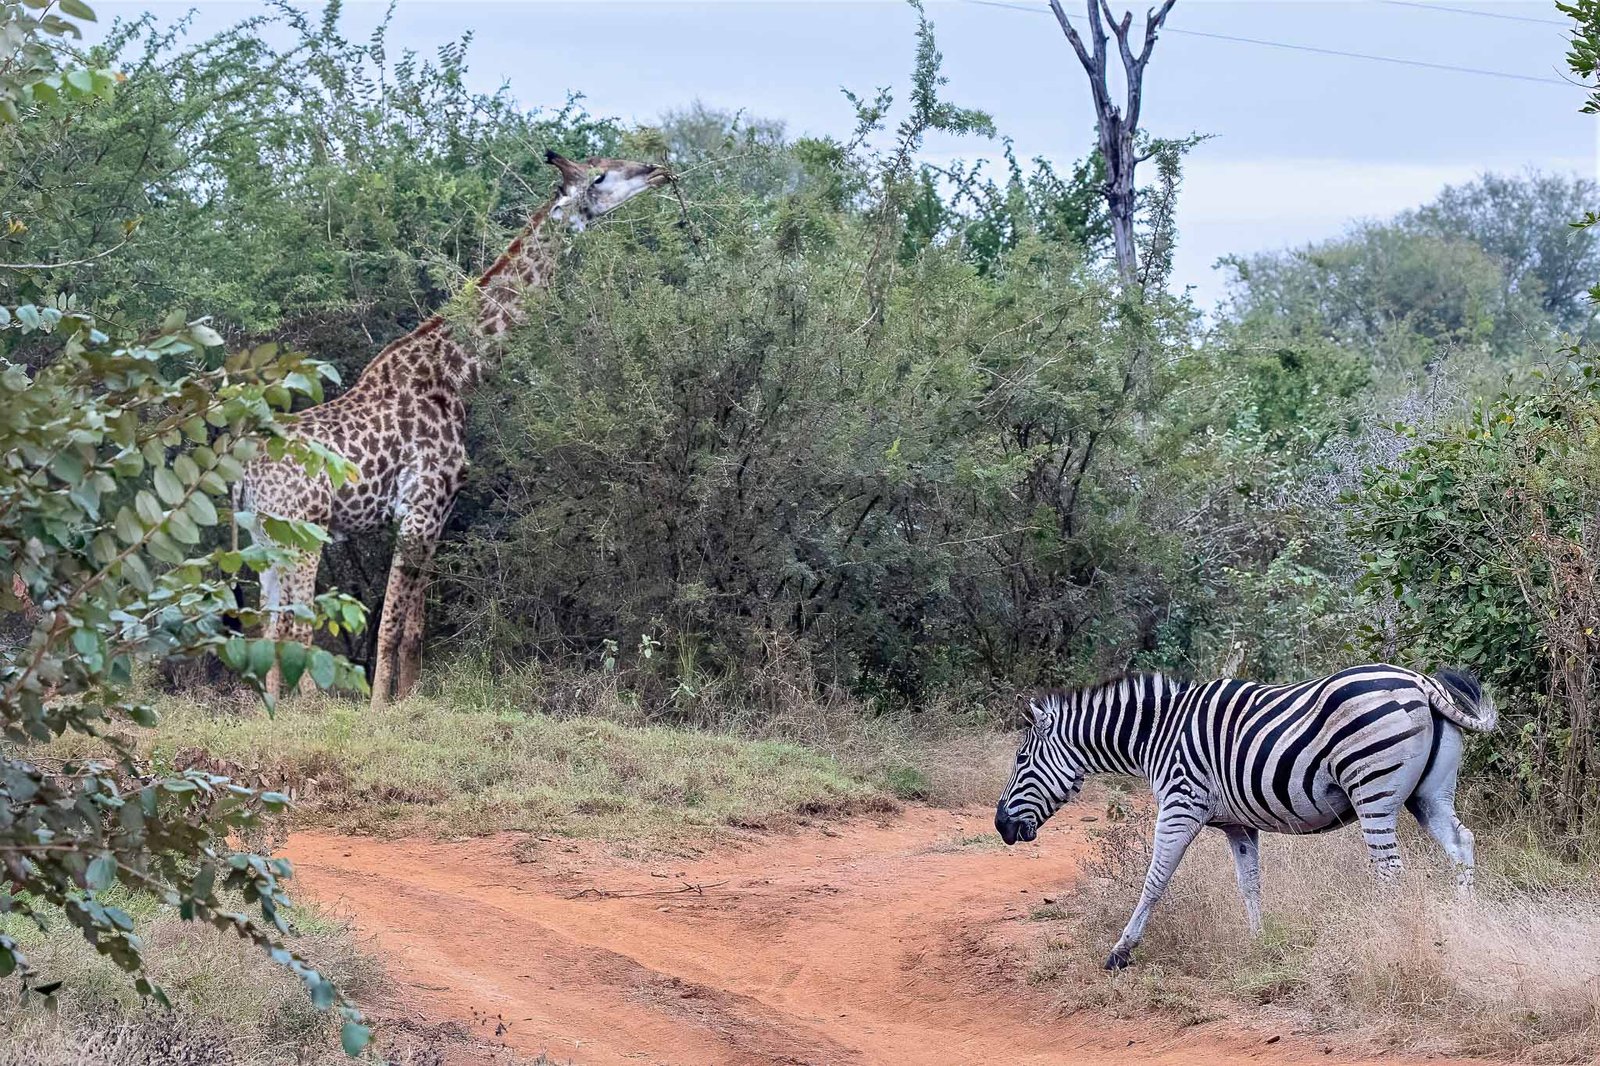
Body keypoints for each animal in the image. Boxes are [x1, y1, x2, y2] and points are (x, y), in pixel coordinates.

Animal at [241, 151, 669, 707]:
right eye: (599, 175)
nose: (659, 170)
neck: (460, 375)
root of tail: (245, 475)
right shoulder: (420, 508)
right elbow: (389, 625)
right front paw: (379, 708)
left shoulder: (438, 514)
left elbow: (415, 628)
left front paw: (408, 701)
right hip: (302, 532)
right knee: (297, 625)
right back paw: (308, 708)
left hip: (263, 537)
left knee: (270, 624)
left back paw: (270, 709)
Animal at [993, 664, 1496, 970]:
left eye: (1021, 759)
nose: (1001, 827)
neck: (1156, 733)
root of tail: (1420, 682)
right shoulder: (1238, 824)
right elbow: (1249, 882)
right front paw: (1259, 942)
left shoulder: (1180, 805)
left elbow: (1154, 880)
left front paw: (1121, 951)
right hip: (1428, 795)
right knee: (1461, 844)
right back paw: (1467, 921)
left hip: (1373, 790)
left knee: (1390, 870)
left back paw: (1387, 940)